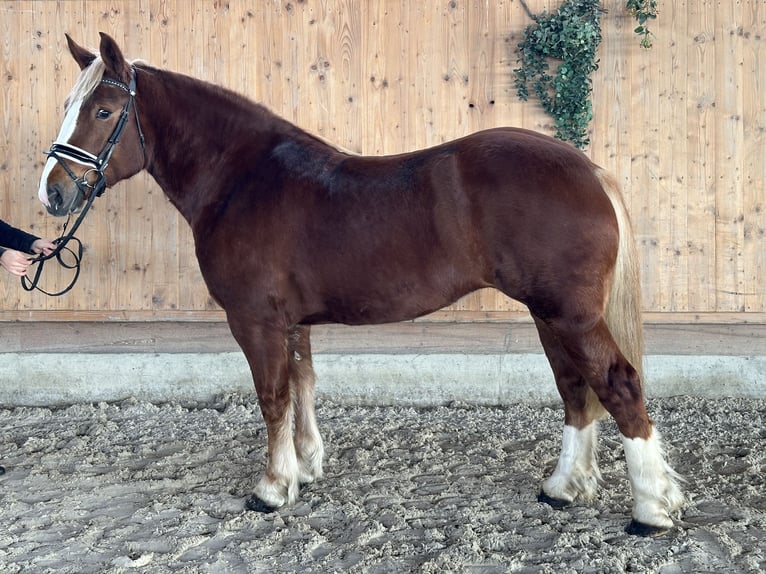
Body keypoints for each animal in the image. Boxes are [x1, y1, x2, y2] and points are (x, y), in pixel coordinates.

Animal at [37, 32, 684, 536]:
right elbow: (302, 386)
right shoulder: (291, 323)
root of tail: (589, 170)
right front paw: (305, 467)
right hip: (549, 315)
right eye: (68, 104)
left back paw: (651, 510)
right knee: (576, 389)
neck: (243, 178)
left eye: (101, 111)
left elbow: (272, 397)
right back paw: (562, 488)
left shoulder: (254, 321)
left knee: (618, 385)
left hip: (568, 314)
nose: (53, 192)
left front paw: (271, 489)